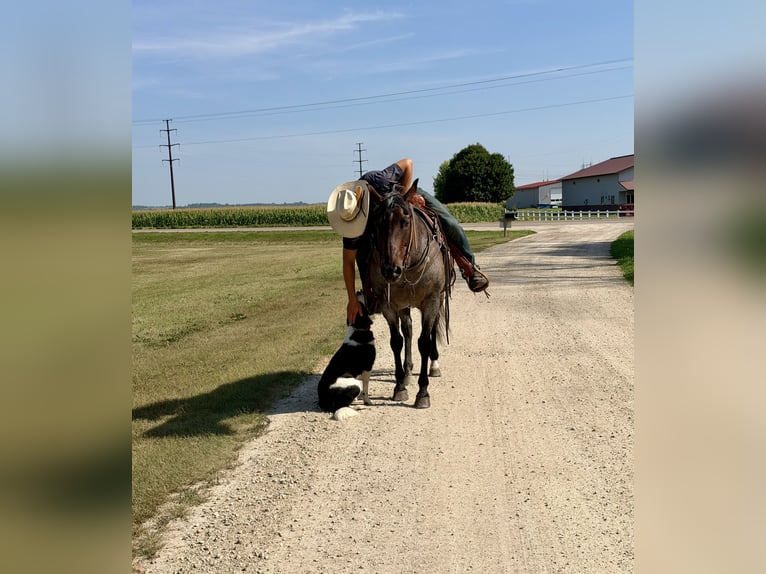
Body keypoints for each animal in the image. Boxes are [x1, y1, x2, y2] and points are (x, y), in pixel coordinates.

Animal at [367, 179, 453, 409]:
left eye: (405, 222)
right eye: (377, 223)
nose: (391, 270)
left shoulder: (431, 301)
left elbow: (424, 342)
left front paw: (423, 392)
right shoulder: (389, 305)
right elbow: (396, 341)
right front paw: (399, 387)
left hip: (438, 300)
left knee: (430, 332)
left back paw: (434, 365)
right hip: (404, 305)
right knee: (408, 330)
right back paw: (406, 373)